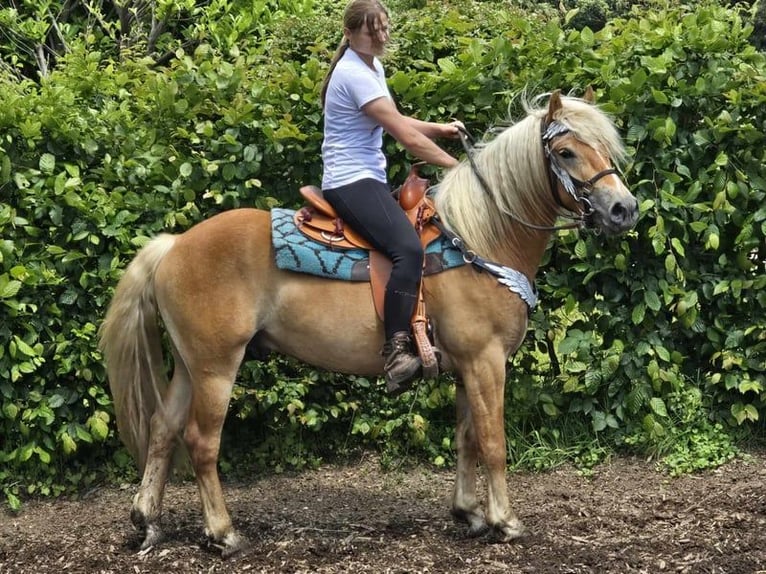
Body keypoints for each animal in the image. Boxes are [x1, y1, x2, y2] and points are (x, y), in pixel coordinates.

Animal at [100, 90, 640, 560]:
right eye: (566, 152)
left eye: (604, 146)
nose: (624, 209)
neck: (480, 239)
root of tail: (174, 245)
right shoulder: (485, 361)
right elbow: (493, 443)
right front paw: (504, 521)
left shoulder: (466, 367)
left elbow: (466, 438)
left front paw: (469, 514)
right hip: (216, 367)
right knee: (200, 441)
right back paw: (223, 533)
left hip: (190, 364)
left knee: (163, 429)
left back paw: (147, 521)